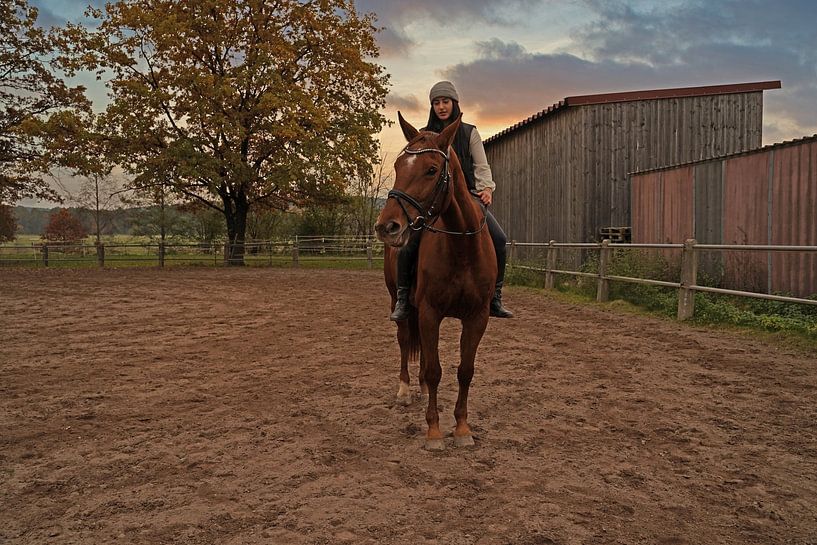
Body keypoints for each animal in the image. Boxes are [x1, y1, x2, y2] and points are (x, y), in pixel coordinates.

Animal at [374, 112, 497, 451]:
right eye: (397, 167)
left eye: (431, 170)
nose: (387, 226)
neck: (462, 249)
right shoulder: (430, 313)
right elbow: (434, 370)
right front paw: (434, 432)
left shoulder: (477, 317)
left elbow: (464, 371)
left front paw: (463, 429)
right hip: (399, 302)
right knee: (405, 340)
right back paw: (405, 390)